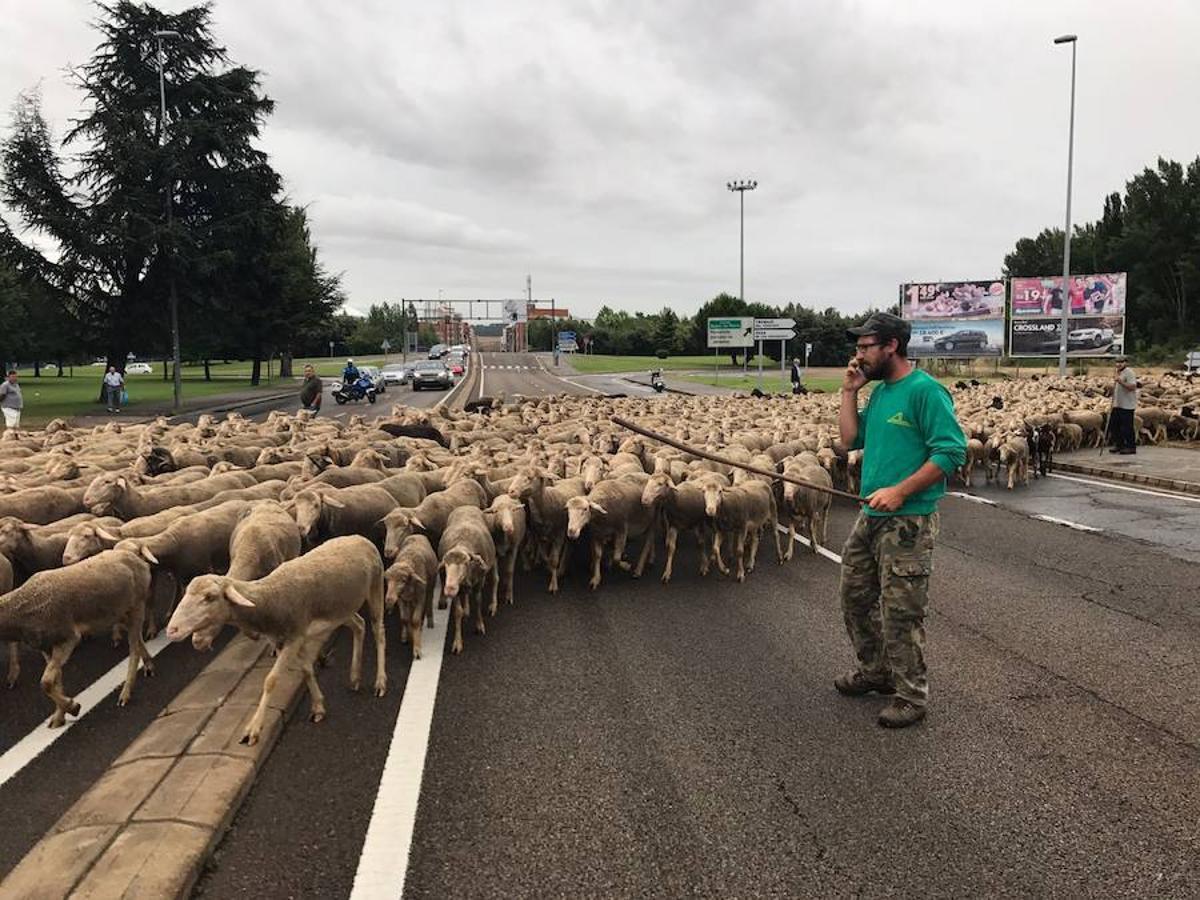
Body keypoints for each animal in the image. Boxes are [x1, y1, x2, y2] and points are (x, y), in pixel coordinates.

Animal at [0, 549, 154, 734]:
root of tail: (139, 560)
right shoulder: (46, 646)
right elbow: (55, 680)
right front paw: (59, 717)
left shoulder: (69, 637)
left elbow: (46, 682)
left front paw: (73, 707)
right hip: (121, 612)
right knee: (138, 640)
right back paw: (149, 665)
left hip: (137, 605)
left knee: (133, 650)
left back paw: (125, 694)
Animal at [164, 535, 386, 748]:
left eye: (210, 597)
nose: (171, 630)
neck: (270, 600)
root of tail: (360, 538)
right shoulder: (286, 639)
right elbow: (306, 670)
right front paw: (318, 707)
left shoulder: (294, 636)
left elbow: (271, 680)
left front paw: (253, 729)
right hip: (342, 609)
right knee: (359, 625)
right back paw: (355, 677)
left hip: (375, 586)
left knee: (379, 632)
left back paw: (380, 682)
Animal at [436, 508, 496, 657]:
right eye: (446, 564)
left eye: (465, 563)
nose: (449, 589)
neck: (462, 543)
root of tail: (466, 506)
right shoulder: (457, 590)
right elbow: (457, 611)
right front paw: (457, 642)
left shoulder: (479, 582)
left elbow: (479, 601)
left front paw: (479, 626)